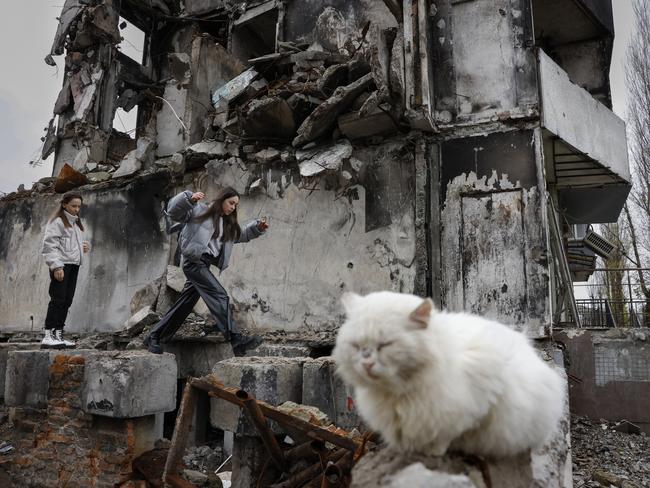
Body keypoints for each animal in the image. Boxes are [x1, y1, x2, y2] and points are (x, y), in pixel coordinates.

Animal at [332, 292, 564, 460]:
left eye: (385, 345)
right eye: (357, 346)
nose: (366, 362)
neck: (398, 393)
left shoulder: (473, 406)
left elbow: (446, 436)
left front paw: (432, 452)